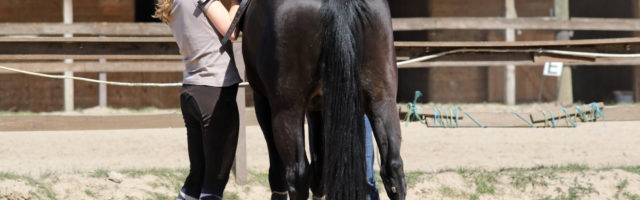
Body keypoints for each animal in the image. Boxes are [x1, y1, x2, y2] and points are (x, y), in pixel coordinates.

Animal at [240, 0, 404, 198]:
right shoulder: (319, 107)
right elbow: (320, 168)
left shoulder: (263, 101)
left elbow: (279, 170)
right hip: (382, 99)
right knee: (393, 168)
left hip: (287, 110)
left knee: (298, 173)